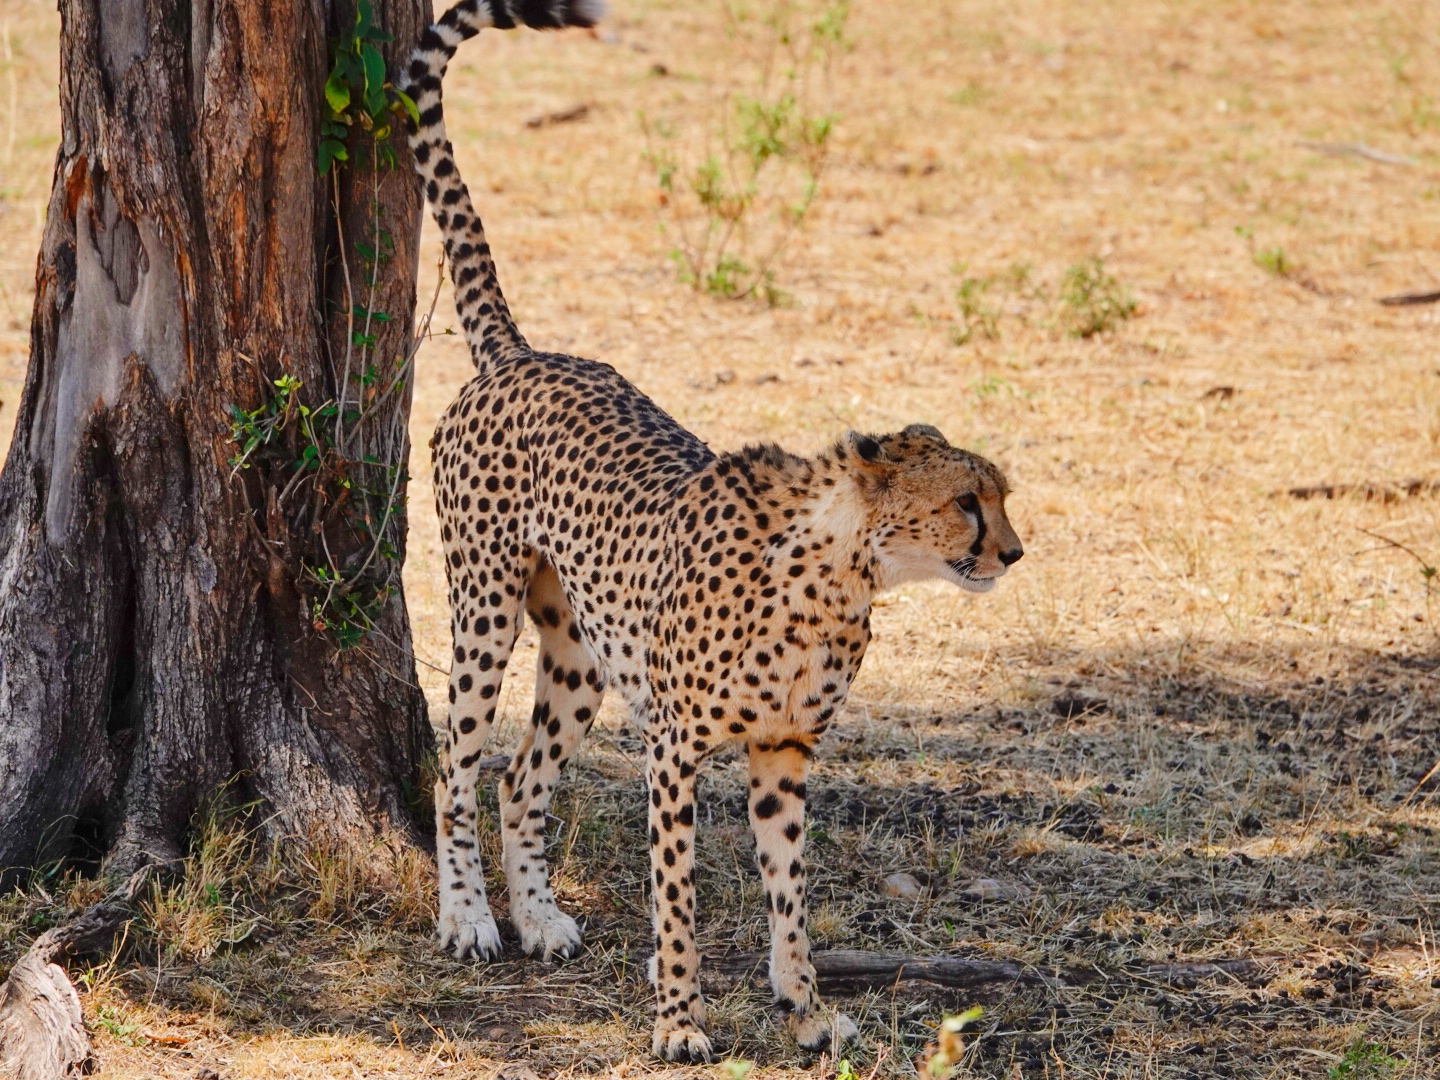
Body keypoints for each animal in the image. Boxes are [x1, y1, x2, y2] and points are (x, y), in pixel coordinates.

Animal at [406, 0, 1025, 1065]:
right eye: (964, 503)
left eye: (1003, 497)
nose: (1014, 552)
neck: (838, 580)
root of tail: (525, 355)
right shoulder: (675, 748)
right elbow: (678, 899)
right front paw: (681, 1024)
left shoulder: (784, 753)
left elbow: (791, 895)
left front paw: (809, 1012)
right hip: (484, 604)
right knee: (458, 764)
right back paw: (472, 919)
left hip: (579, 650)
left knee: (523, 779)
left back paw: (539, 918)